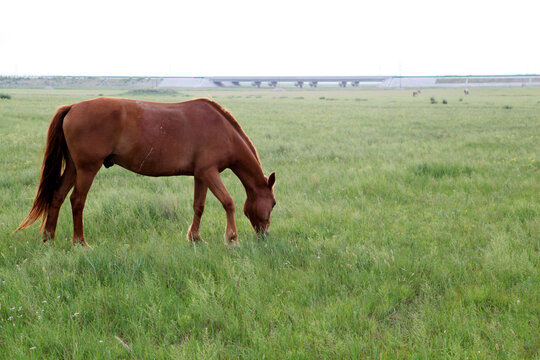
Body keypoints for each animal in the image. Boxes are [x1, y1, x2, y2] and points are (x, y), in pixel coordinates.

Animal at [15, 97, 278, 246]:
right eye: (274, 203)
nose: (265, 235)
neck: (221, 129)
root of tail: (72, 108)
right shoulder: (210, 172)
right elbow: (228, 202)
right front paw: (231, 238)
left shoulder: (201, 174)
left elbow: (199, 206)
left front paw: (195, 237)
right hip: (87, 168)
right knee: (77, 201)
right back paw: (80, 242)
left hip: (72, 167)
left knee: (58, 196)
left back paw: (49, 239)